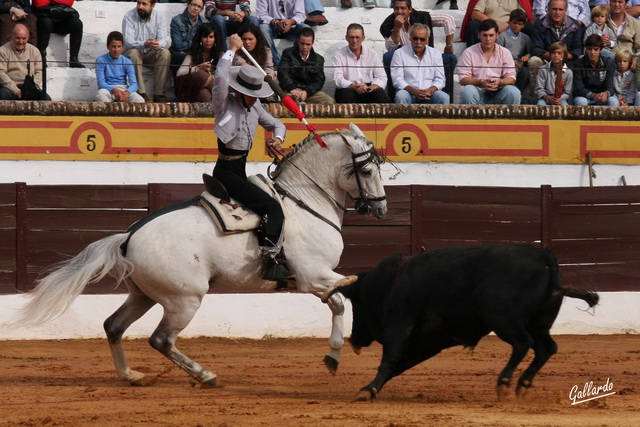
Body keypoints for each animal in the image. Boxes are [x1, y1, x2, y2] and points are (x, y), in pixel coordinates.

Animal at [13, 123, 384, 388]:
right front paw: (336, 353)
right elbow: (341, 300)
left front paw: (333, 356)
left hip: (144, 295)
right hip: (185, 299)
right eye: (367, 171)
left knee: (114, 326)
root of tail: (128, 236)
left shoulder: (315, 280)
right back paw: (205, 376)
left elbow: (336, 302)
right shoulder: (312, 276)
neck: (304, 201)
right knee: (161, 339)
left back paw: (130, 375)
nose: (380, 208)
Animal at [332, 244, 596, 402]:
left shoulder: (399, 323)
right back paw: (523, 384)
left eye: (356, 303)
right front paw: (372, 388)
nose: (354, 339)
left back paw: (504, 382)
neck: (390, 282)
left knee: (523, 343)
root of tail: (543, 255)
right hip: (538, 324)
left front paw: (367, 390)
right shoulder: (427, 342)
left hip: (502, 318)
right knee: (546, 347)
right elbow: (400, 364)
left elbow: (391, 358)